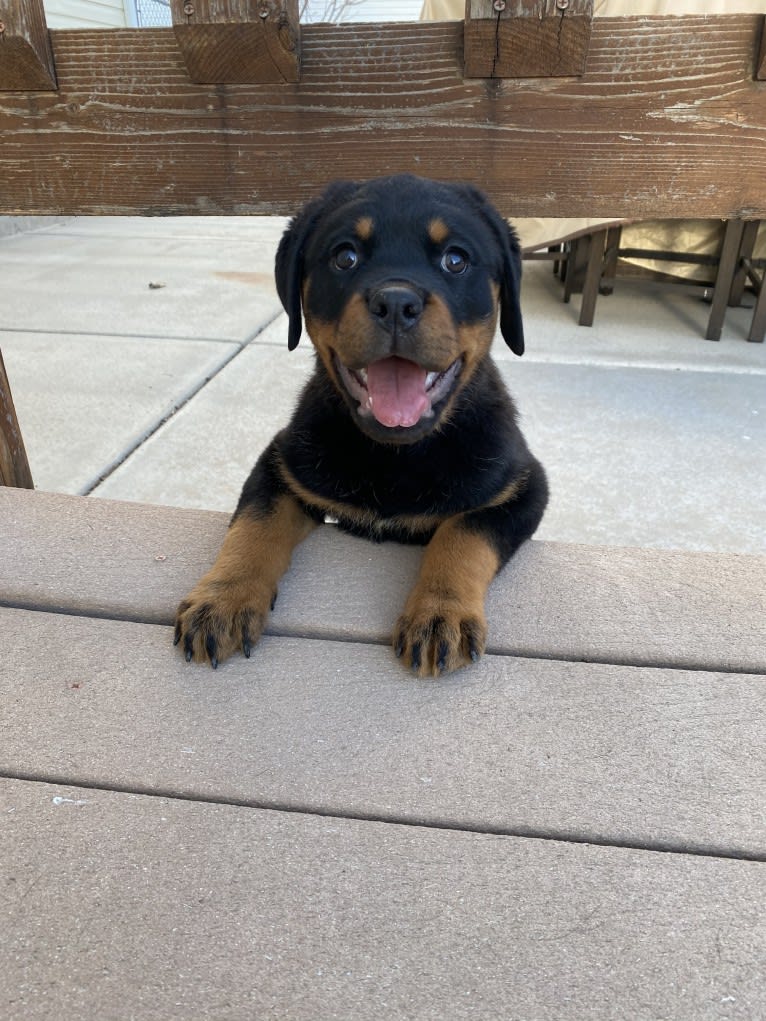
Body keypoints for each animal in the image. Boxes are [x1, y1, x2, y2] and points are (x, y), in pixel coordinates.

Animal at [175, 175, 547, 677]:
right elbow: (255, 524)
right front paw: (223, 599)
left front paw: (439, 613)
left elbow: (465, 534)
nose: (396, 302)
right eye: (345, 257)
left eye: (455, 260)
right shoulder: (281, 464)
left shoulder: (523, 486)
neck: (396, 455)